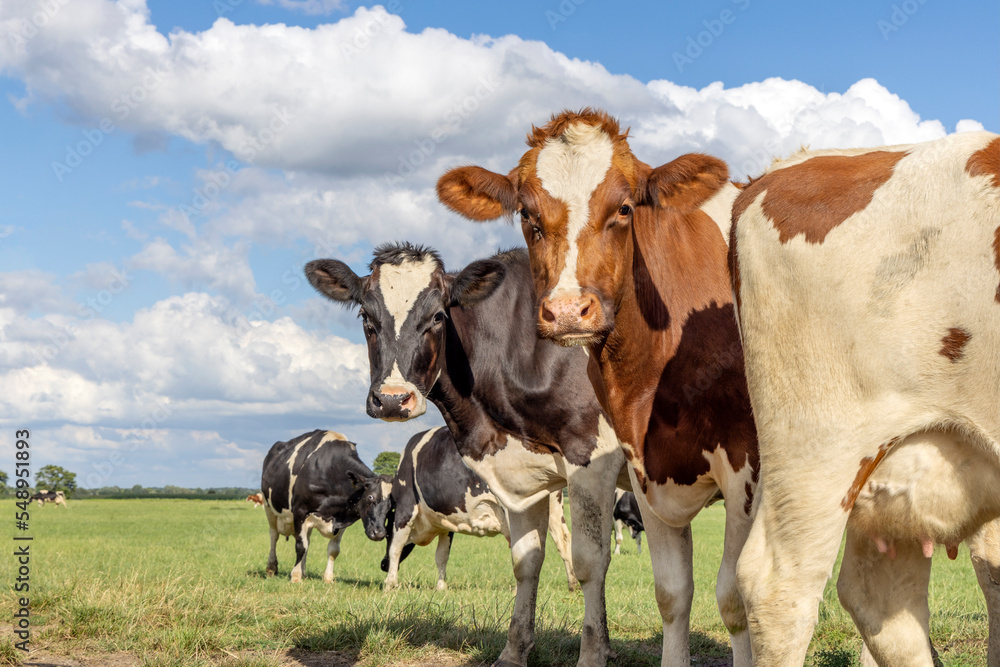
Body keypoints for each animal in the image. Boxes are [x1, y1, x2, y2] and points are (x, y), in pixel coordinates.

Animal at [262, 430, 386, 580]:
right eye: (370, 497)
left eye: (392, 505)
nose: (379, 533)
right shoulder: (300, 511)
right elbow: (300, 546)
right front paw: (296, 577)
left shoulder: (342, 518)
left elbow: (333, 550)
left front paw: (327, 578)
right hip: (268, 507)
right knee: (274, 536)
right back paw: (271, 568)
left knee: (307, 540)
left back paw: (303, 572)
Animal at [358, 428, 580, 588]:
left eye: (371, 500)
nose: (382, 565)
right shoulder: (445, 524)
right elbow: (442, 556)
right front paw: (441, 587)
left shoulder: (405, 510)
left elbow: (396, 548)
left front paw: (390, 584)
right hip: (553, 507)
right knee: (564, 540)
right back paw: (573, 584)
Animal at [438, 107, 756, 664]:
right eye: (527, 215)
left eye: (625, 208)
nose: (568, 311)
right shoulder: (646, 468)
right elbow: (673, 592)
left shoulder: (746, 470)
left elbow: (735, 596)